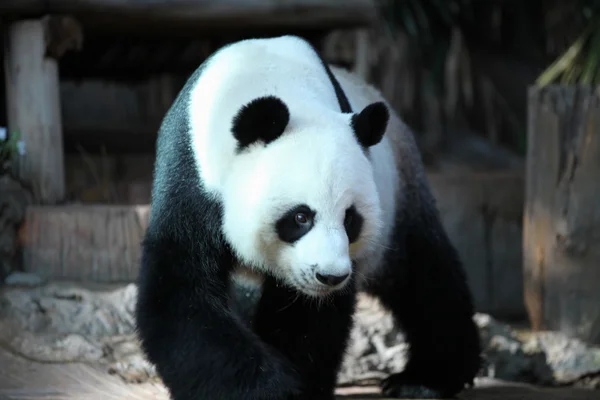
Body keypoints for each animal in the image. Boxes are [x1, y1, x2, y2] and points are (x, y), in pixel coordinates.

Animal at [136, 35, 482, 400]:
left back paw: (424, 378)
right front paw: (270, 389)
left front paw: (300, 384)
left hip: (399, 193)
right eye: (301, 217)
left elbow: (308, 319)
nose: (329, 276)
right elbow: (182, 295)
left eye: (350, 219)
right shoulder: (191, 176)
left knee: (425, 275)